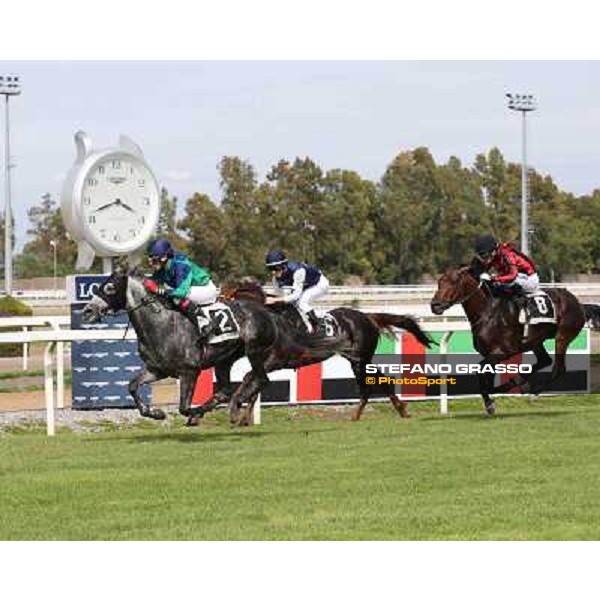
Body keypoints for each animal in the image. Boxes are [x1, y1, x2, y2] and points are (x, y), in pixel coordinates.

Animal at [432, 264, 584, 414]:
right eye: (439, 282)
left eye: (454, 282)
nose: (435, 305)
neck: (488, 313)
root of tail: (575, 300)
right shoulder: (490, 354)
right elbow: (487, 377)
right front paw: (491, 399)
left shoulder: (503, 351)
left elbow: (481, 371)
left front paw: (490, 403)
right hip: (535, 341)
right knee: (544, 360)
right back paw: (521, 382)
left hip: (562, 336)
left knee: (559, 368)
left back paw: (533, 392)